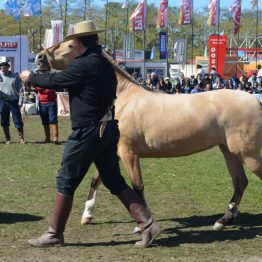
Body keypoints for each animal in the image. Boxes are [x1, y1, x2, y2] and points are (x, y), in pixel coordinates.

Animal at [35, 39, 262, 231]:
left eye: (70, 45)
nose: (38, 58)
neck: (124, 98)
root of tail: (255, 100)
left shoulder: (129, 153)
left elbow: (137, 186)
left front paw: (142, 225)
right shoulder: (113, 152)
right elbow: (96, 179)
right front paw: (87, 215)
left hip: (248, 154)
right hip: (229, 151)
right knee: (240, 182)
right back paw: (223, 221)